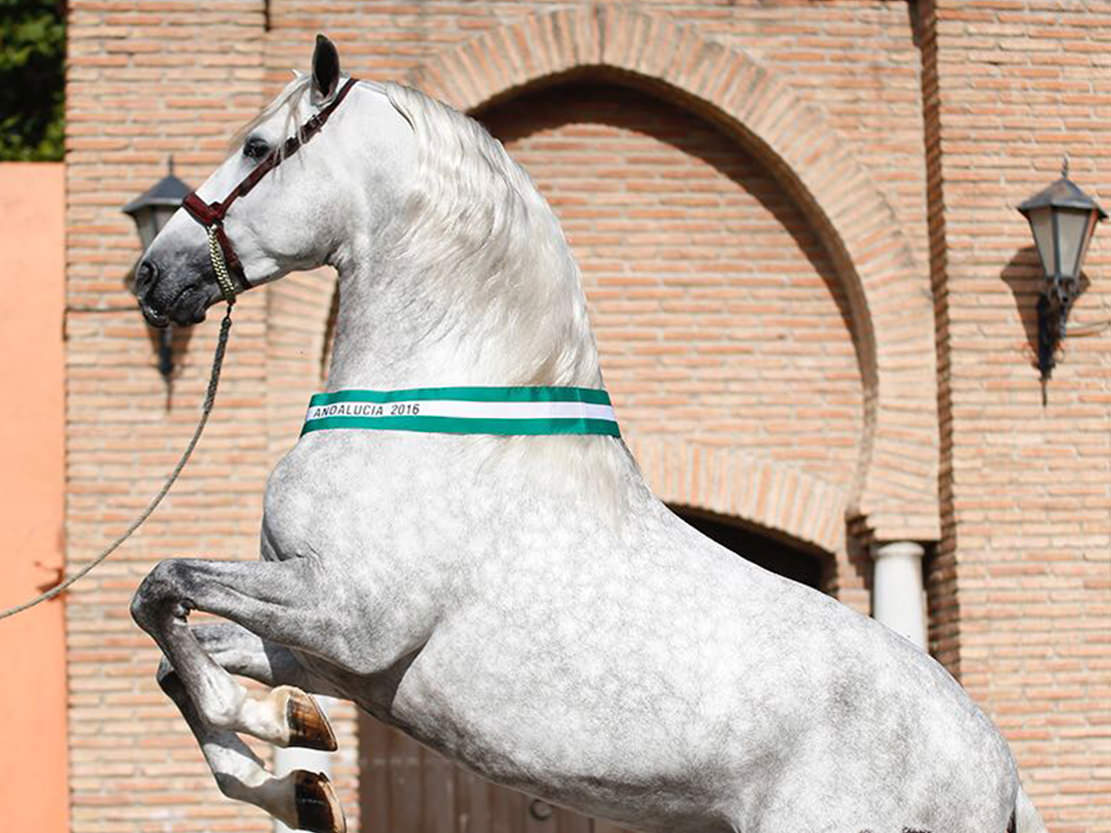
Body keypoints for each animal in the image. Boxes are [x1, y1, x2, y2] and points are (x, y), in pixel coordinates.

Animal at [130, 35, 1047, 833]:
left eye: (256, 147)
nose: (150, 274)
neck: (435, 426)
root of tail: (997, 771)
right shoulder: (329, 653)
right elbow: (174, 658)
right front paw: (300, 776)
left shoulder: (345, 612)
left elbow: (161, 588)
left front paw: (276, 730)